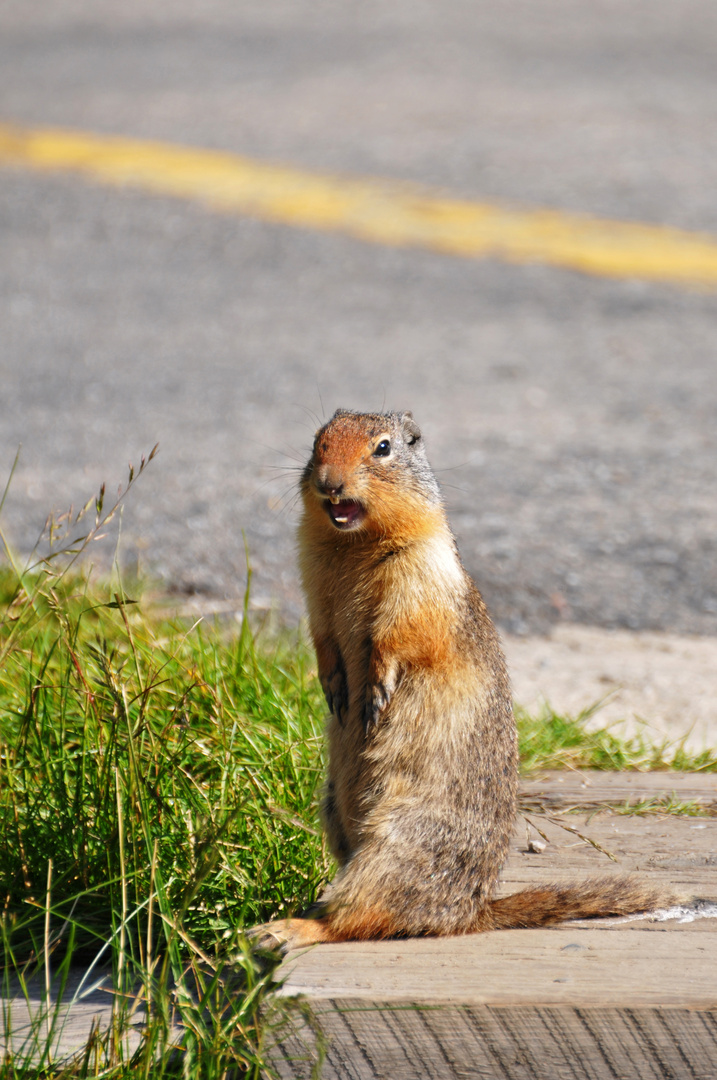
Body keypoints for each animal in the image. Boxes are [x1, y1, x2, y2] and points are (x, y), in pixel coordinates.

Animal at [254, 408, 682, 950]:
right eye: (318, 442)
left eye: (384, 448)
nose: (329, 483)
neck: (351, 546)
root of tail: (470, 913)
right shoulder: (313, 579)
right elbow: (323, 634)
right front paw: (333, 685)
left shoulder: (420, 576)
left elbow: (398, 635)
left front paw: (375, 689)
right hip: (334, 811)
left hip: (400, 846)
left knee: (361, 919)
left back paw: (287, 928)